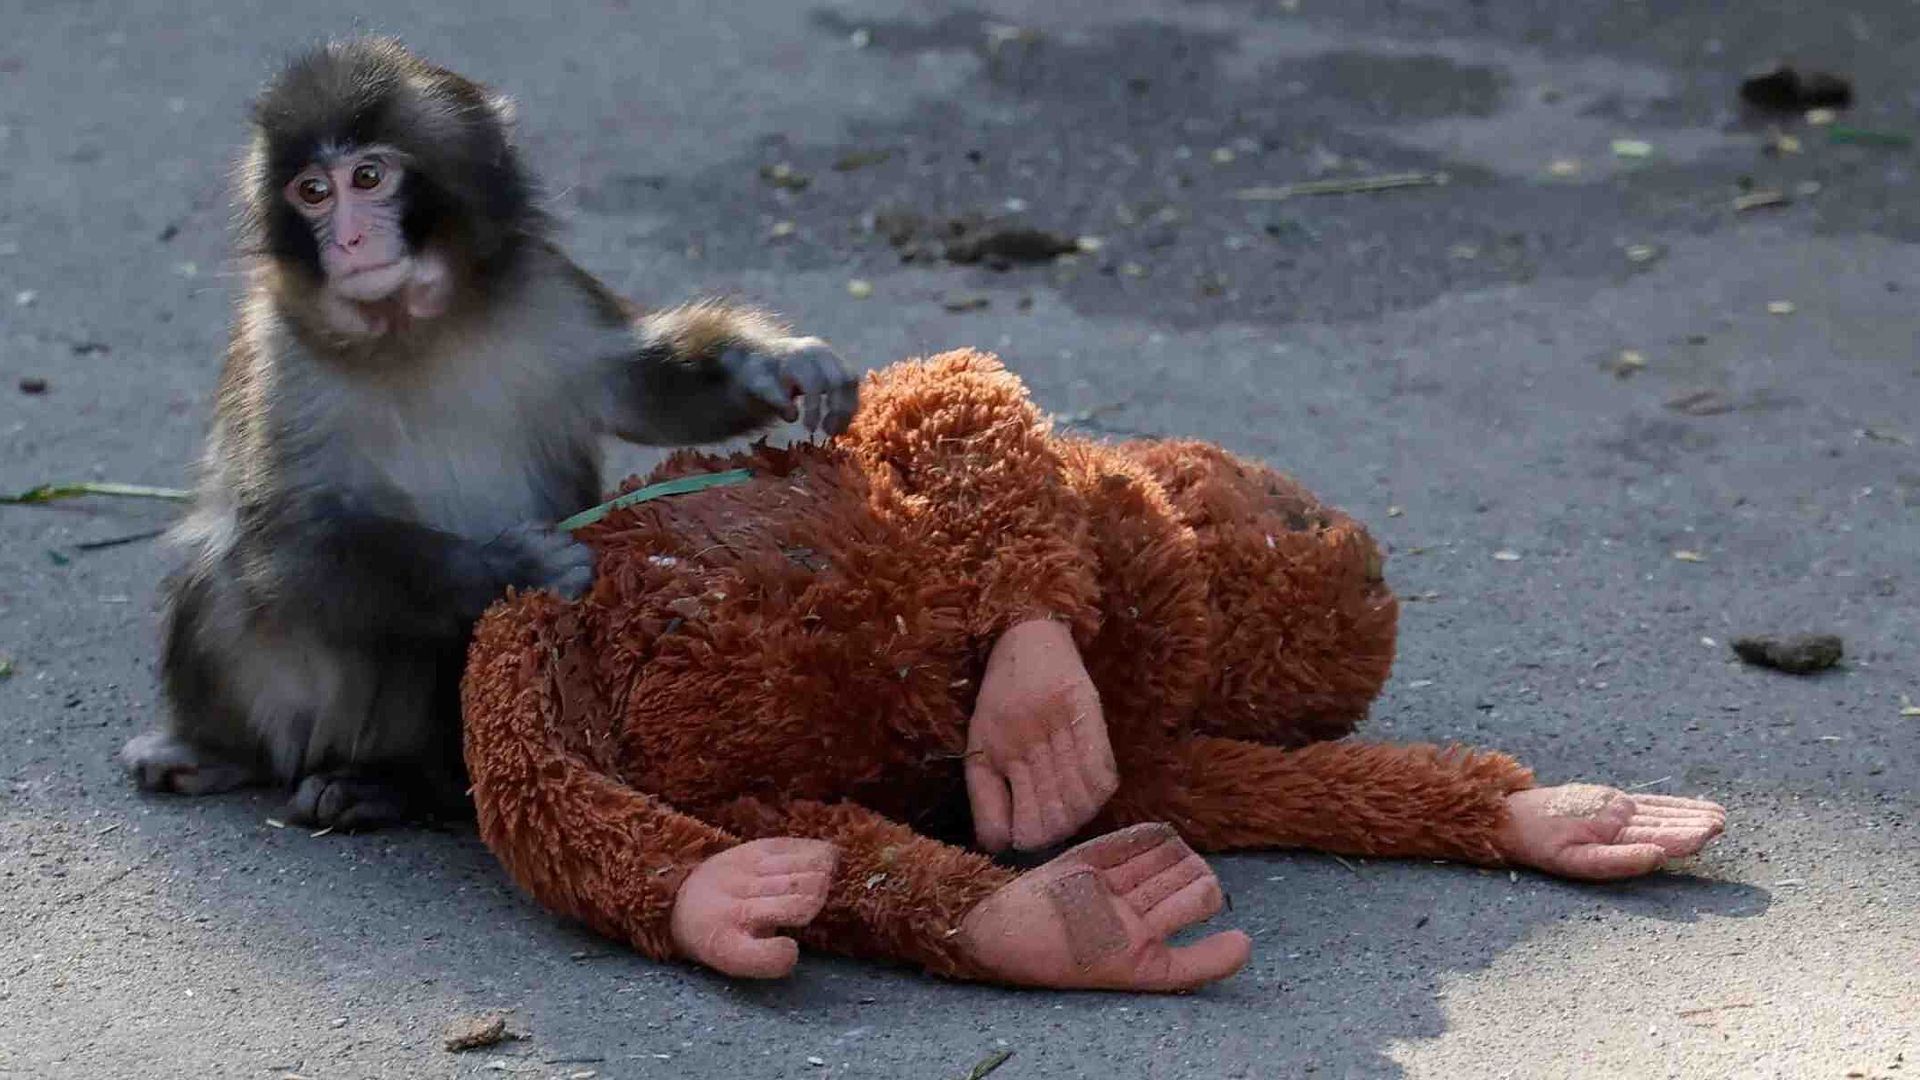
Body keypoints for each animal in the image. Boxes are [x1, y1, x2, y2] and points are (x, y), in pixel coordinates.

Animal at [118, 37, 858, 830]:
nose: (349, 238)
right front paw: (514, 565)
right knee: (224, 575)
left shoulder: (546, 289)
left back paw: (396, 783)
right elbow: (280, 539)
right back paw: (228, 751)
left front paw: (774, 363)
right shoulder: (277, 354)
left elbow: (641, 388)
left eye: (368, 177)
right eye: (312, 192)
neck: (409, 330)